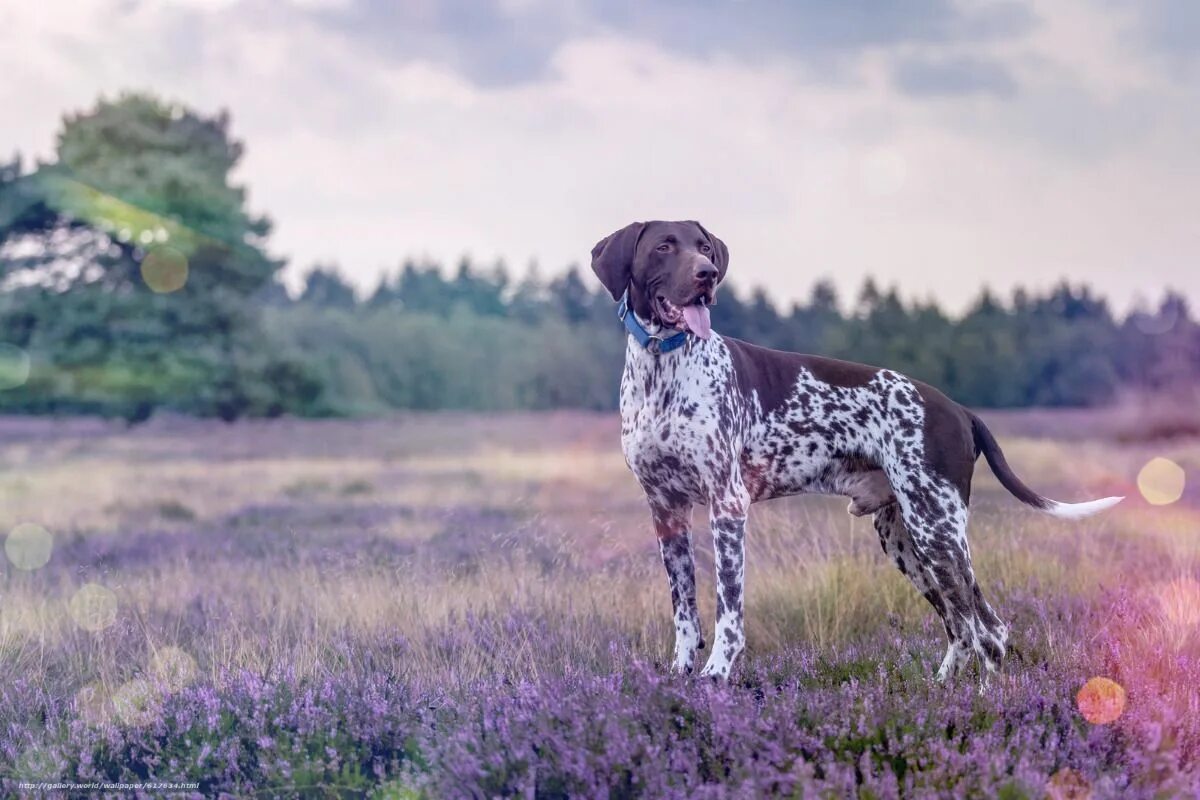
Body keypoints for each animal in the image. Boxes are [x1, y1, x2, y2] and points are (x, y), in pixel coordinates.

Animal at [590, 220, 1123, 681]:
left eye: (703, 247)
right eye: (664, 246)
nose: (707, 274)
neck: (663, 367)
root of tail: (958, 410)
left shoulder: (727, 506)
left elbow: (728, 610)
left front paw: (716, 675)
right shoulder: (666, 510)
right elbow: (684, 611)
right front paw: (679, 674)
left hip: (939, 533)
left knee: (986, 627)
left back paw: (990, 699)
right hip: (905, 540)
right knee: (961, 626)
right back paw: (941, 688)